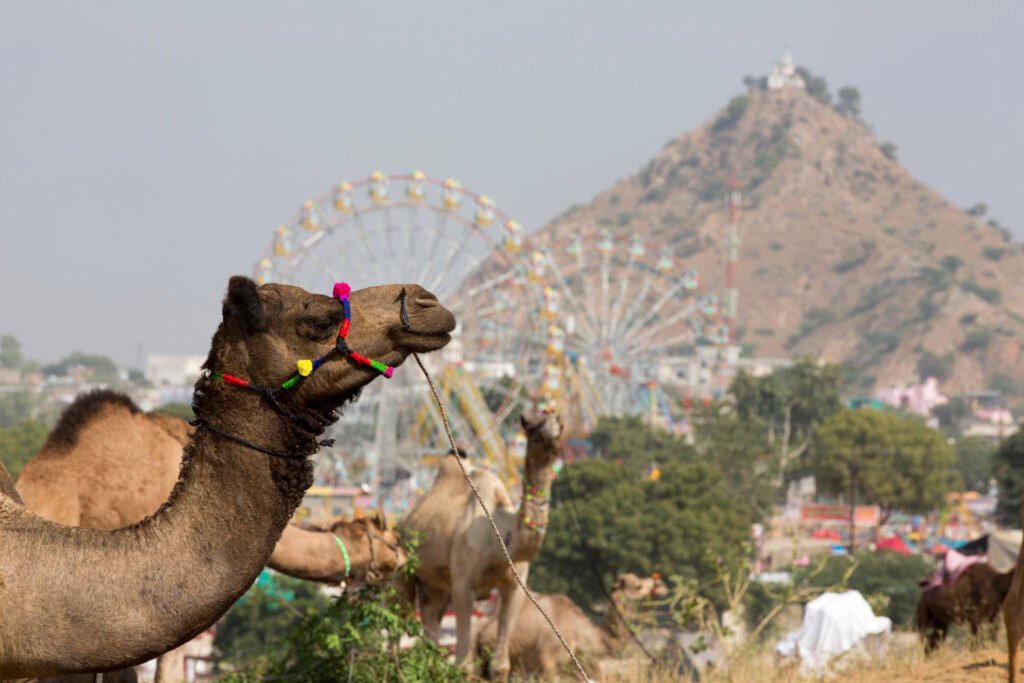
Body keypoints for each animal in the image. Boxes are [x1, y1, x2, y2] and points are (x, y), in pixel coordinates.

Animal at [399, 411, 563, 681]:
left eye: (561, 427)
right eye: (534, 431)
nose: (553, 428)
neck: (501, 535)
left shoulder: (514, 587)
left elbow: (501, 664)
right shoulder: (463, 586)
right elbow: (463, 664)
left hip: (436, 586)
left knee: (430, 628)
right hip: (404, 569)